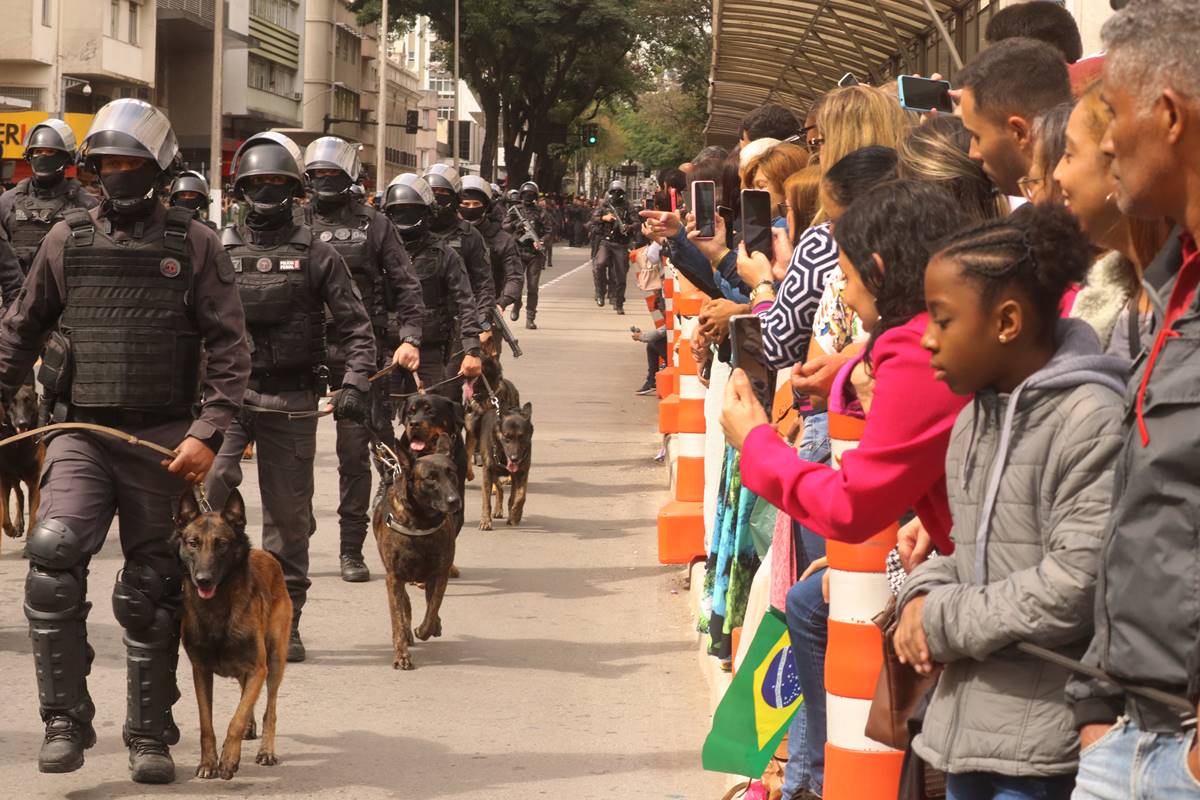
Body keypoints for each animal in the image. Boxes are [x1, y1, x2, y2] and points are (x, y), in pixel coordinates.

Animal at [172, 489, 291, 782]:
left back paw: (266, 750)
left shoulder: (258, 668)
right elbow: (207, 723)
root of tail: (267, 555)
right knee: (246, 694)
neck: (217, 608)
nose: (203, 579)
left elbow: (236, 719)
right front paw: (208, 762)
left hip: (274, 661)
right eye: (193, 543)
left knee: (270, 707)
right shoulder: (201, 671)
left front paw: (228, 759)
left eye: (222, 544)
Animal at [374, 434, 463, 671]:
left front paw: (426, 629)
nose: (455, 501)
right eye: (430, 478)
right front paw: (402, 655)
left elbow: (433, 608)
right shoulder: (393, 578)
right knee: (405, 604)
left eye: (452, 473)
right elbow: (398, 618)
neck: (421, 522)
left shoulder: (439, 574)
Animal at [477, 400, 535, 532]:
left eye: (521, 437)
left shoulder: (522, 472)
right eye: (507, 436)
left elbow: (521, 496)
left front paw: (515, 515)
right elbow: (486, 500)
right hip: (493, 473)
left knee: (510, 495)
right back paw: (498, 510)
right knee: (499, 488)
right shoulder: (487, 471)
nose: (514, 458)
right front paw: (485, 521)